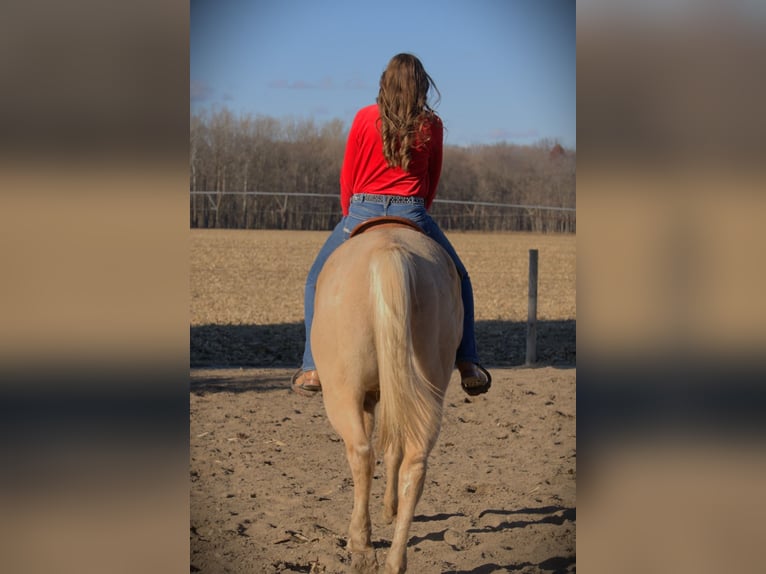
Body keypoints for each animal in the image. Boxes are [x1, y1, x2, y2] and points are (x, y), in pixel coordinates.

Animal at [311, 218, 464, 573]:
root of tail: (387, 253)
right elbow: (393, 451)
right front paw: (389, 510)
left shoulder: (364, 399)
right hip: (429, 395)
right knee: (414, 464)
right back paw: (396, 560)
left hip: (342, 396)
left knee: (361, 454)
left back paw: (362, 545)